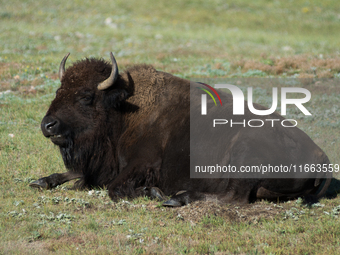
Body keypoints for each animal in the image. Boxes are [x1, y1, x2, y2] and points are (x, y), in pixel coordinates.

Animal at [29, 52, 332, 206]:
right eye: (59, 90)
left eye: (86, 96)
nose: (48, 125)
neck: (123, 110)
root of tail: (322, 157)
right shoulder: (101, 164)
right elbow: (78, 174)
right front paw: (41, 181)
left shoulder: (142, 163)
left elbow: (114, 189)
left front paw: (152, 192)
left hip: (244, 155)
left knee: (232, 197)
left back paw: (176, 198)